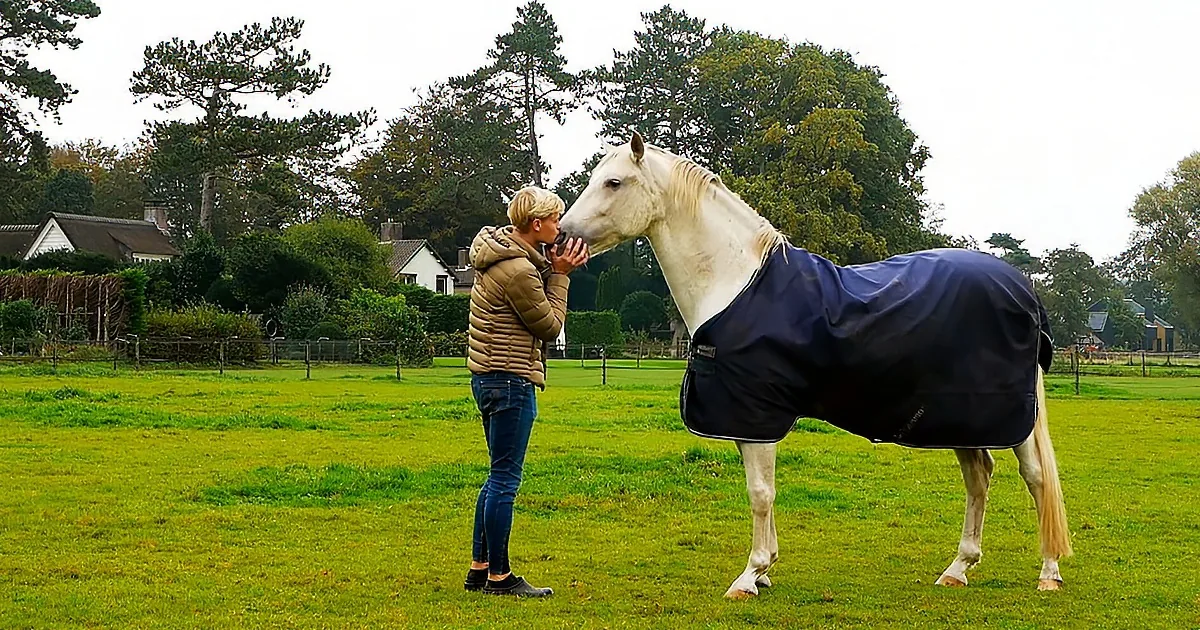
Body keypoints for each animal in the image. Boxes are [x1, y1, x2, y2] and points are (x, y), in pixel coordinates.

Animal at [557, 131, 1071, 598]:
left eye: (614, 182)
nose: (561, 234)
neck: (735, 283)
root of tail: (1024, 291)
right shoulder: (750, 419)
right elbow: (762, 491)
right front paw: (765, 571)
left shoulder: (756, 416)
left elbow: (760, 494)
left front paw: (749, 576)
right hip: (964, 418)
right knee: (979, 477)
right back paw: (958, 569)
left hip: (1010, 419)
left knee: (1036, 479)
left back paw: (1048, 573)